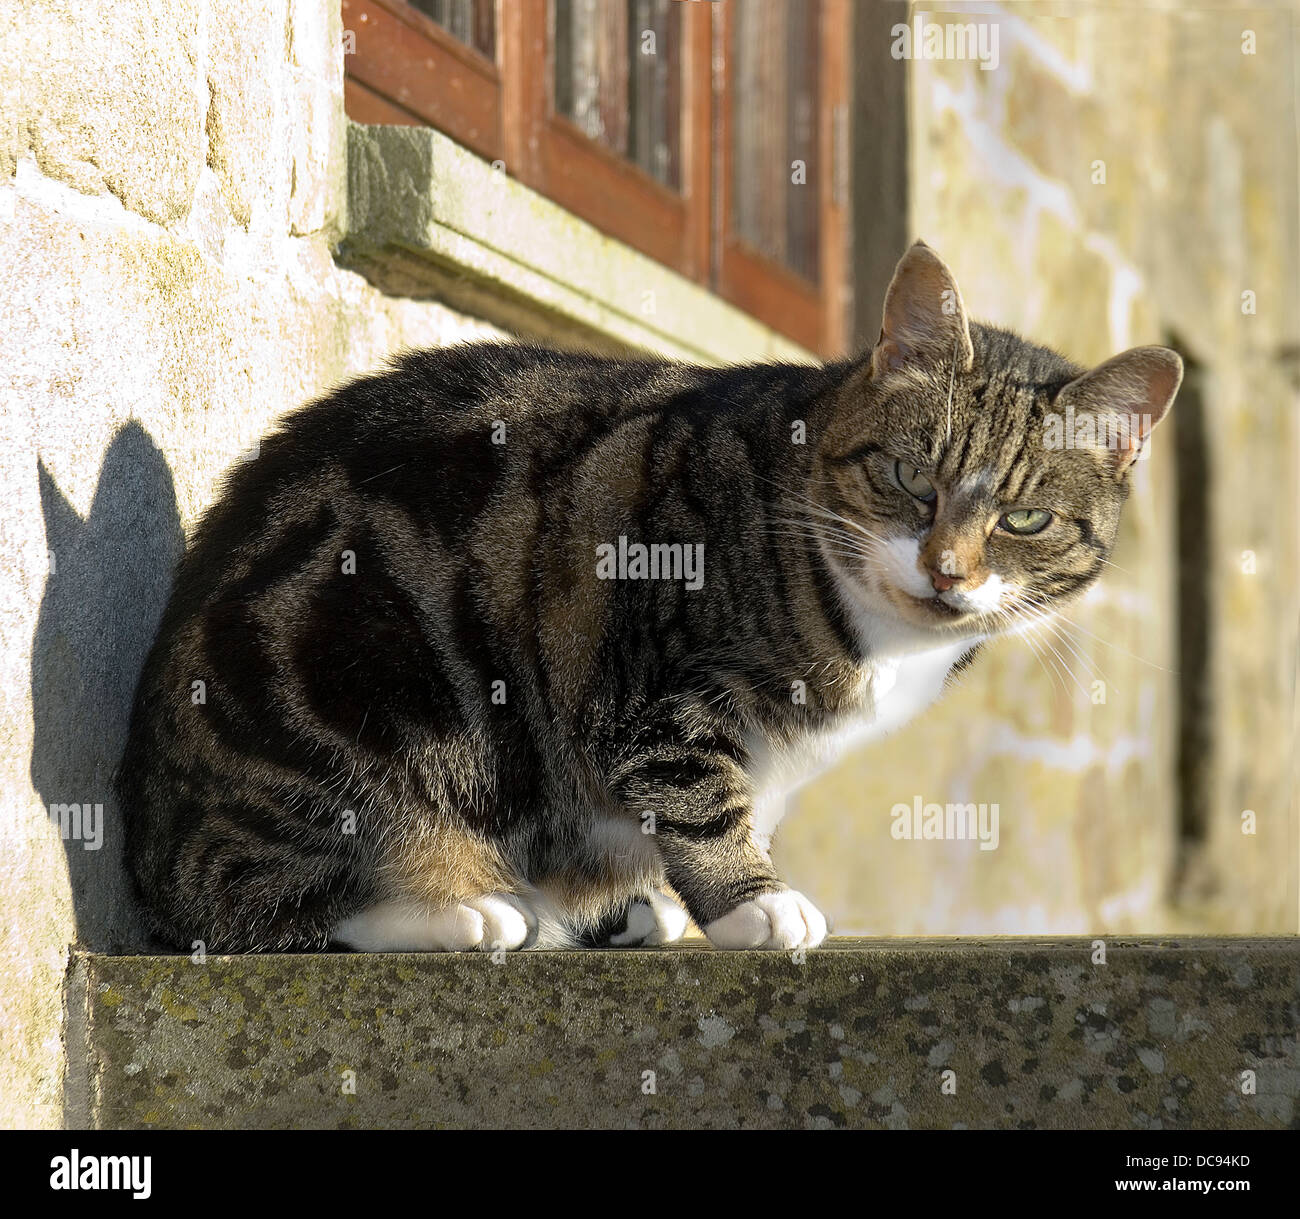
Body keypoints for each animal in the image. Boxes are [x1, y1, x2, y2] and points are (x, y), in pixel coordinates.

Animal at [119, 241, 1180, 951]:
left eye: (1026, 519)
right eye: (912, 478)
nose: (947, 569)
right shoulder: (653, 673)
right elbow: (698, 789)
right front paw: (753, 900)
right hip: (360, 686)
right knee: (237, 896)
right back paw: (468, 908)